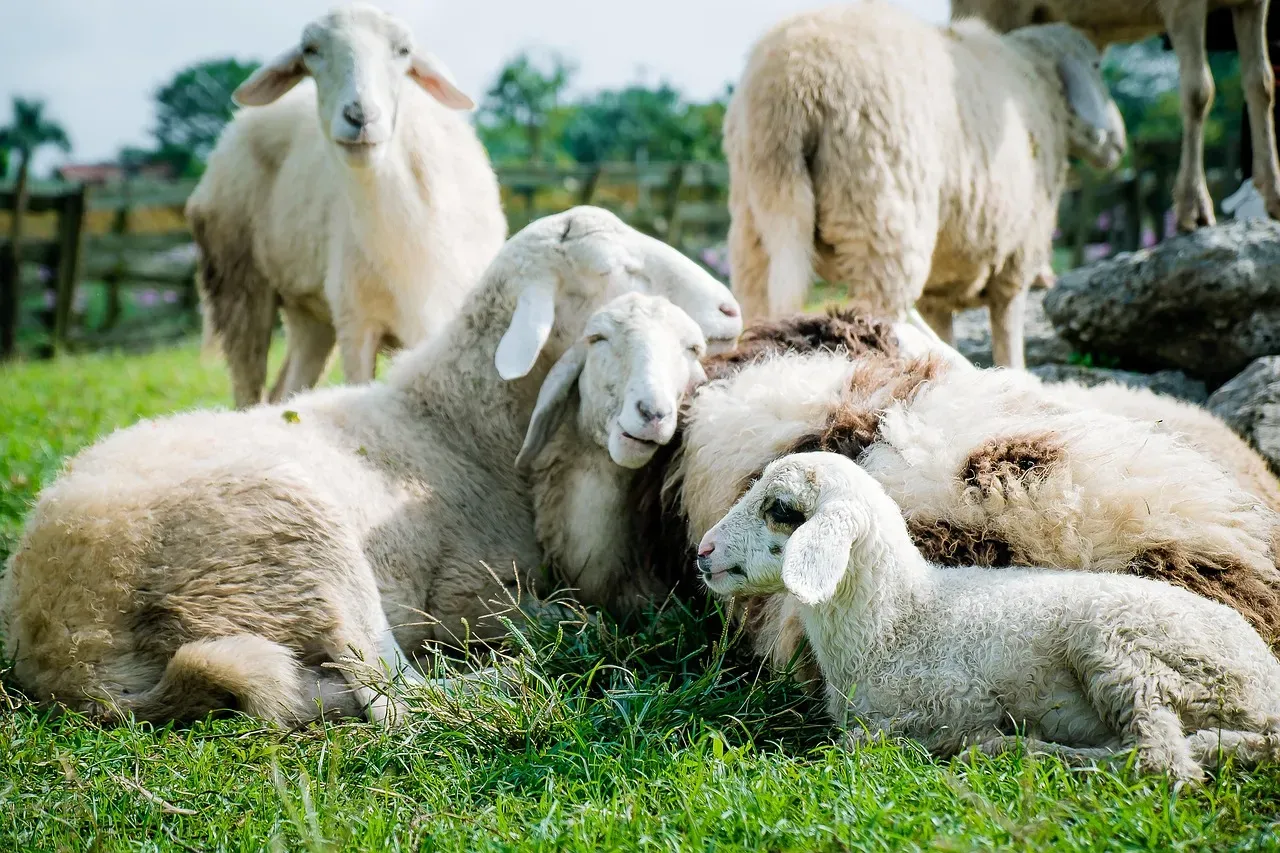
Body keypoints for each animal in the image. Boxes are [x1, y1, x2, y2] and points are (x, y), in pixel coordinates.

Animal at [187, 3, 506, 409]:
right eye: (310, 50)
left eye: (403, 50)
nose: (360, 116)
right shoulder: (357, 324)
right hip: (239, 282)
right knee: (249, 390)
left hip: (310, 312)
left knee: (286, 389)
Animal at [698, 451, 1280, 781]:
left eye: (780, 508)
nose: (703, 551)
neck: (899, 621)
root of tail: (1265, 683)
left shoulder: (952, 700)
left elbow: (869, 741)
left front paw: (975, 743)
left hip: (1125, 647)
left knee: (1161, 760)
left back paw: (1021, 751)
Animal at [723, 2, 1126, 367]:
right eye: (1096, 66)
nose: (1119, 143)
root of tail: (791, 85)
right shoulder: (1017, 256)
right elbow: (1008, 337)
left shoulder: (940, 287)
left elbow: (946, 329)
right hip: (880, 211)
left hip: (759, 215)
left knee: (760, 300)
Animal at [950, 0, 1280, 233]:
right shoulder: (1182, 3)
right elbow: (1199, 90)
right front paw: (1194, 210)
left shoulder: (1252, 2)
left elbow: (1261, 82)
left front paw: (1274, 196)